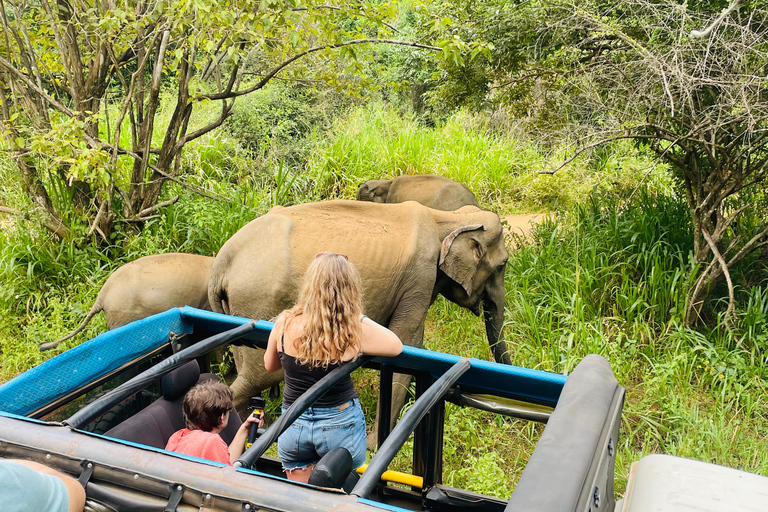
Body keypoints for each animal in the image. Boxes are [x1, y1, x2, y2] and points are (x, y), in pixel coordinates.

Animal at [210, 200, 510, 444]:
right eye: (502, 265)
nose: (505, 418)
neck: (450, 217)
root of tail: (222, 262)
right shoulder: (420, 275)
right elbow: (406, 341)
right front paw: (374, 444)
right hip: (259, 300)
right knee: (257, 377)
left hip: (237, 307)